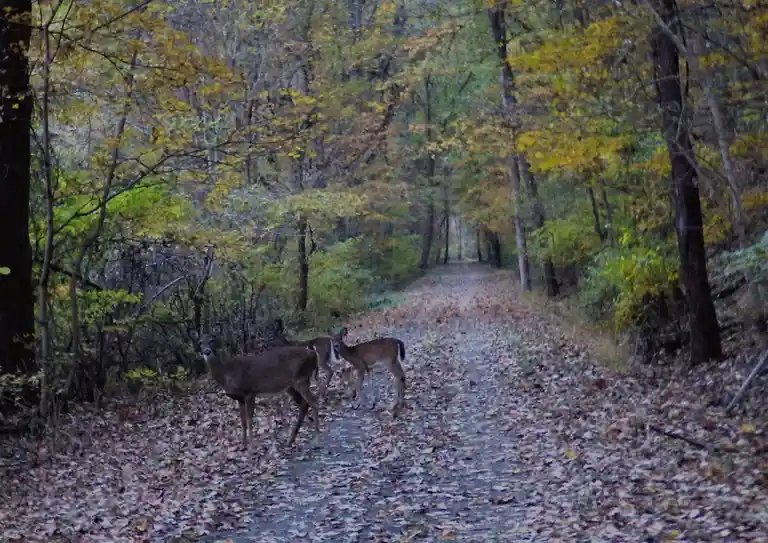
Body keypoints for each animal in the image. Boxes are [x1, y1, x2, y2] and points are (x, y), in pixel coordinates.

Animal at [189, 326, 321, 448]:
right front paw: (243, 445)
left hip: (301, 378)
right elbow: (242, 421)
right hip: (290, 386)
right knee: (304, 405)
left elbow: (250, 420)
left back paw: (316, 437)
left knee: (314, 402)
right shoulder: (239, 398)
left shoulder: (250, 392)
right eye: (200, 342)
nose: (207, 351)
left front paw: (252, 446)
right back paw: (290, 440)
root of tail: (313, 354)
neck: (227, 373)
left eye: (212, 340)